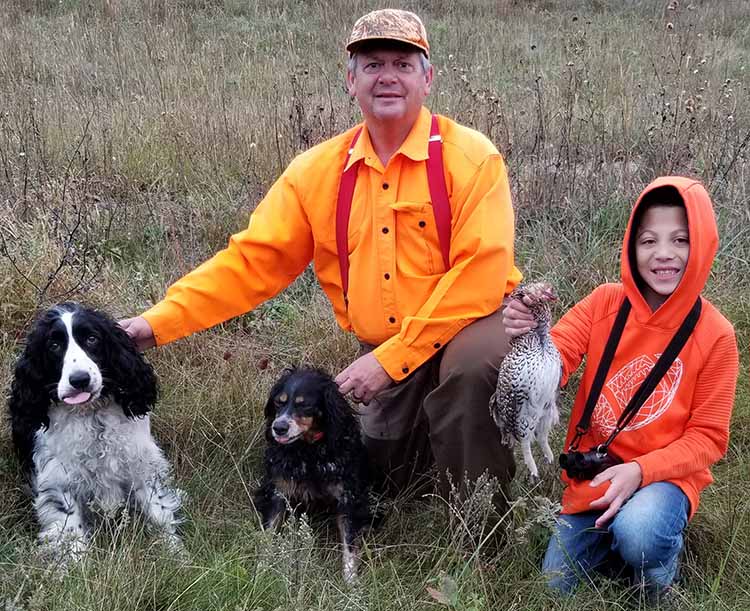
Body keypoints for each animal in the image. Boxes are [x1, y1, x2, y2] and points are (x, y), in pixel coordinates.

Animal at [9, 304, 182, 560]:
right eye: (54, 345)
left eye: (92, 339)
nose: (79, 380)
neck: (91, 415)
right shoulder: (59, 478)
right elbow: (70, 529)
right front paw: (75, 565)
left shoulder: (140, 464)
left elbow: (158, 512)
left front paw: (176, 555)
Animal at [254, 368, 374, 584]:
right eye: (278, 402)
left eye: (305, 405)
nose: (279, 427)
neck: (308, 450)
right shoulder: (277, 492)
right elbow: (268, 536)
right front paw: (261, 573)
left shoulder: (348, 498)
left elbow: (349, 545)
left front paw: (351, 583)